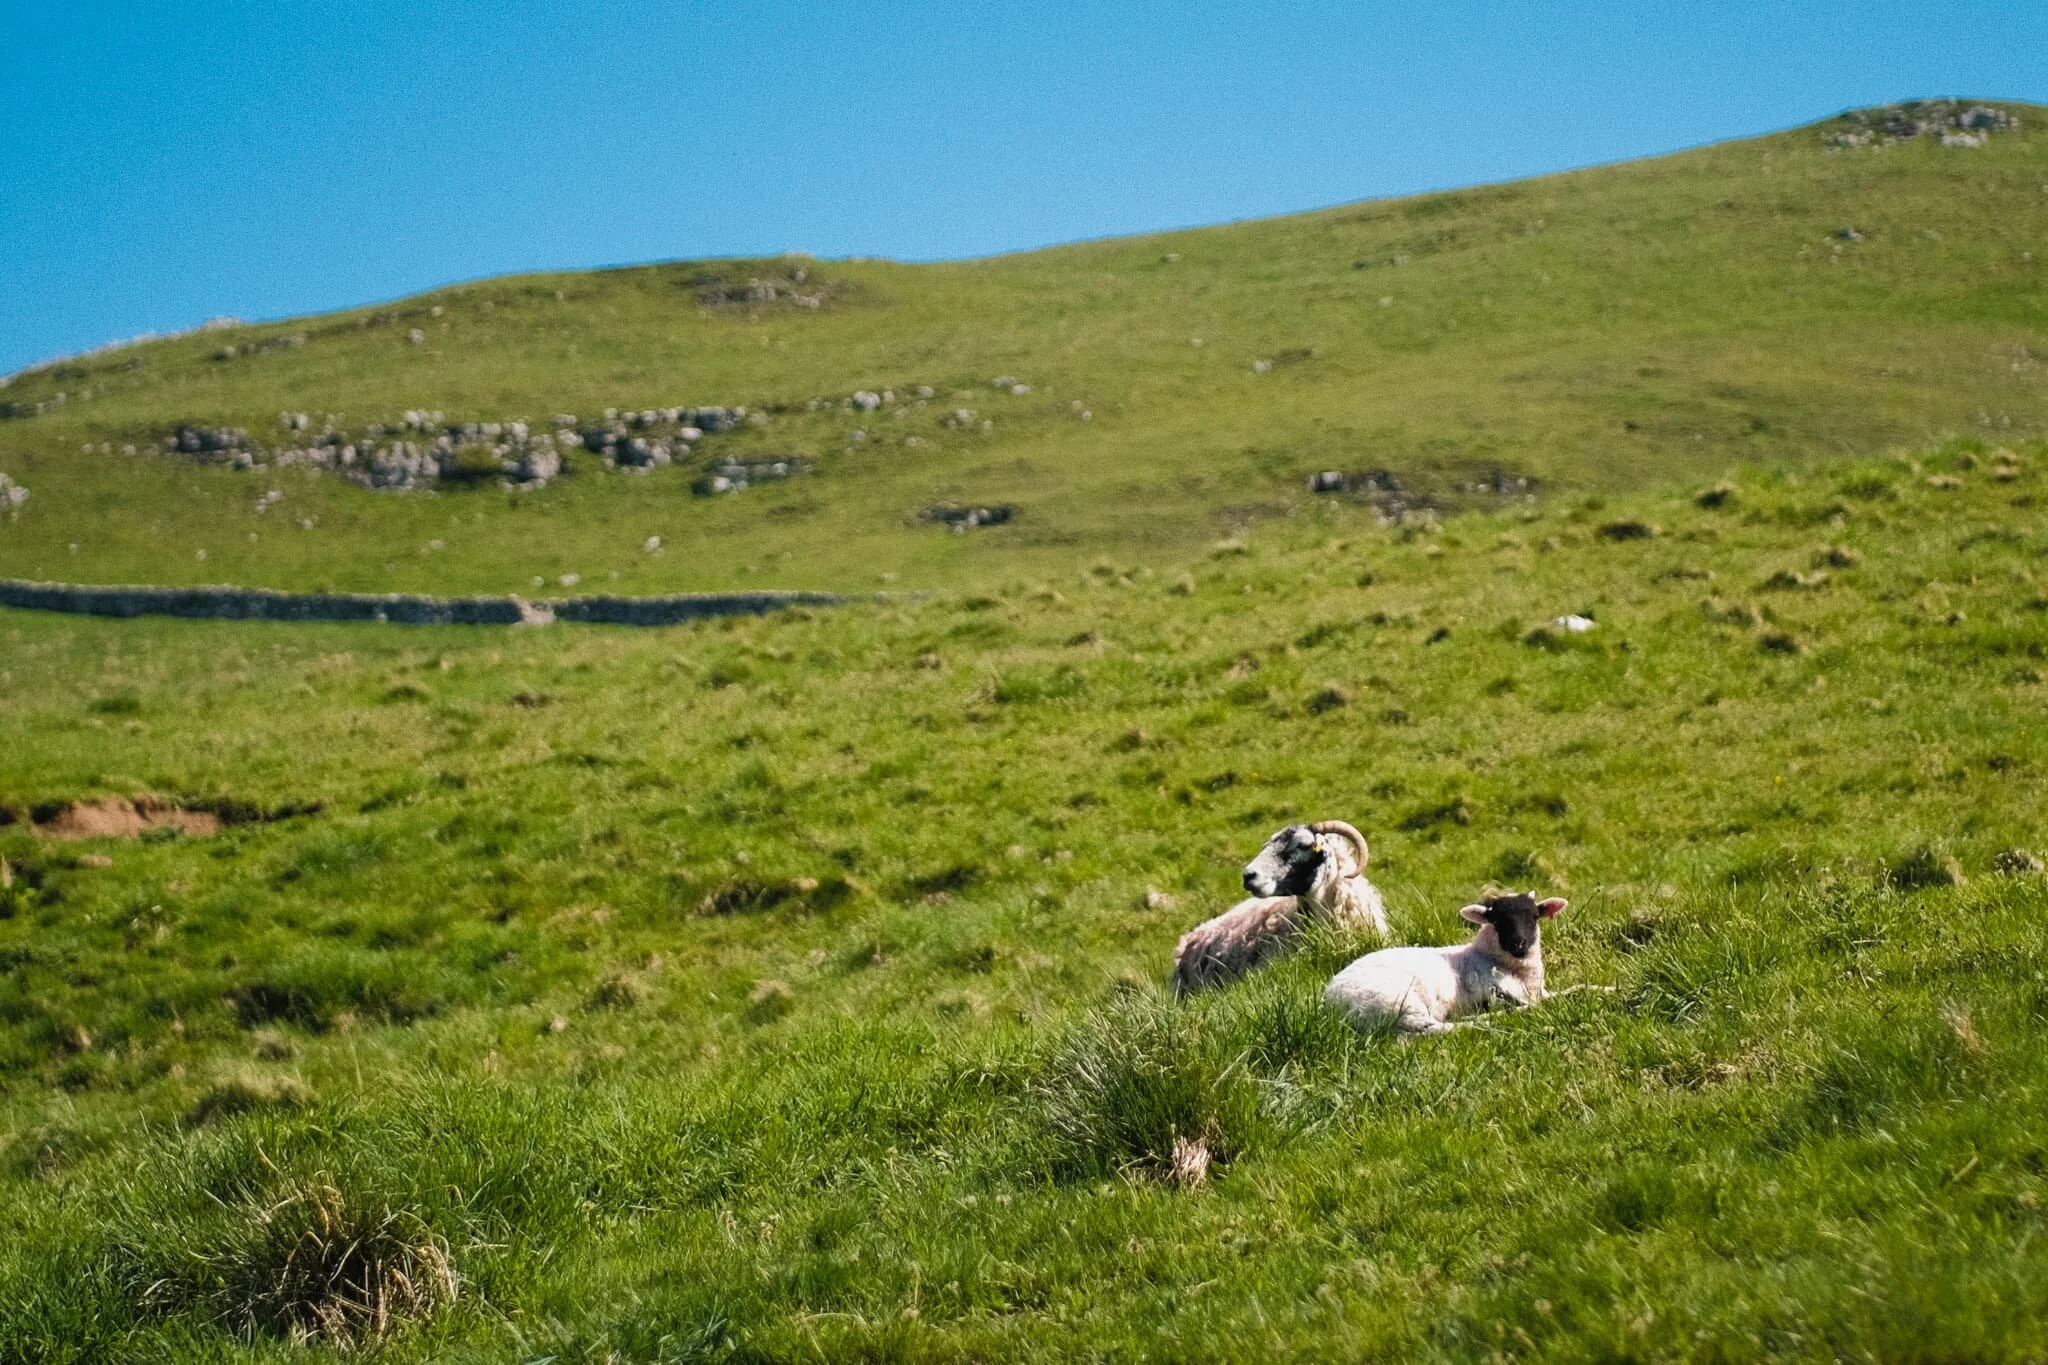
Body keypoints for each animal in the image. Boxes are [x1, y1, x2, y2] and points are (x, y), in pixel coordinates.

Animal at [1323, 890, 1573, 1035]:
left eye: (1534, 917)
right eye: (1497, 921)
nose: (1519, 944)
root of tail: (1331, 1001)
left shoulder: (1539, 991)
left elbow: (1569, 990)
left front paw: (1581, 990)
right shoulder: (1493, 990)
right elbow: (1537, 1003)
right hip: (1397, 1003)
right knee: (1441, 1028)